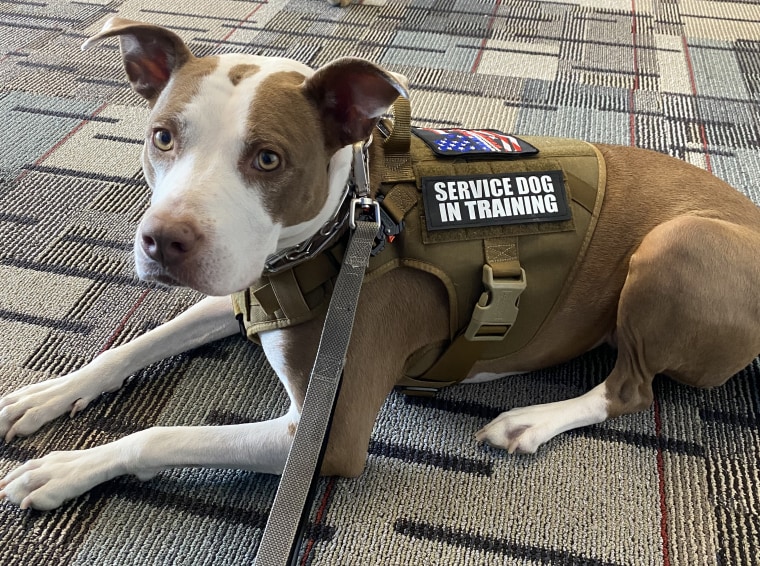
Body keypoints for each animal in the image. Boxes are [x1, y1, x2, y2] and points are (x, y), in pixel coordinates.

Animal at [1, 18, 760, 516]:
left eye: (268, 159)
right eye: (162, 137)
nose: (163, 241)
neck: (339, 233)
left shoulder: (324, 434)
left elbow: (161, 435)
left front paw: (68, 467)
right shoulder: (243, 288)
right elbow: (136, 345)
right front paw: (48, 395)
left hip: (680, 244)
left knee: (629, 388)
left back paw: (529, 422)